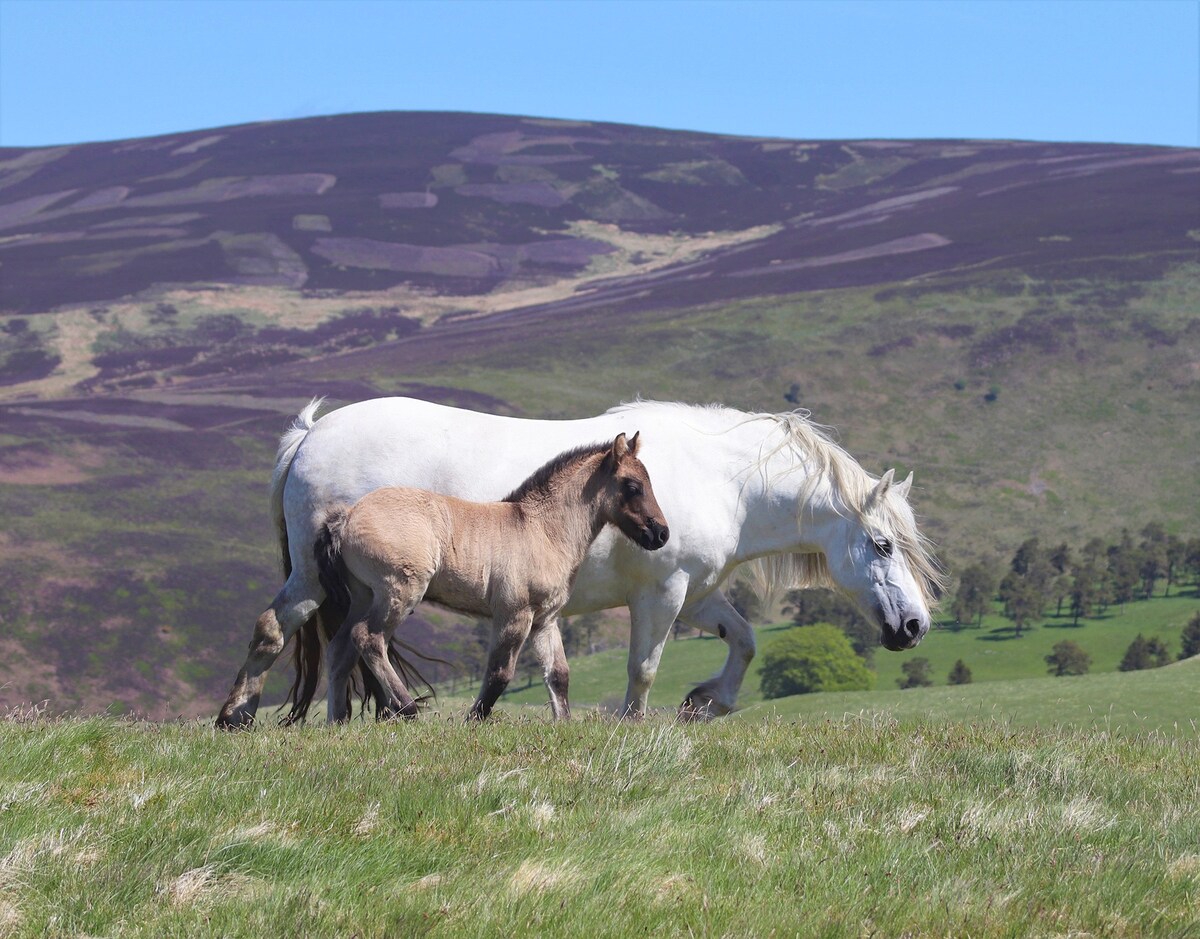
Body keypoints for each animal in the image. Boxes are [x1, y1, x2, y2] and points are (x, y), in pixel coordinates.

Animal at [218, 396, 945, 730]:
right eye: (884, 545)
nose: (914, 627)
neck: (723, 479)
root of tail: (311, 433)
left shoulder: (698, 595)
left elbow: (744, 641)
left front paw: (706, 702)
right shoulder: (661, 593)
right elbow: (642, 668)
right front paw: (635, 722)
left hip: (334, 586)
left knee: (315, 638)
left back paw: (316, 720)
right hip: (327, 580)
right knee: (289, 631)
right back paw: (245, 714)